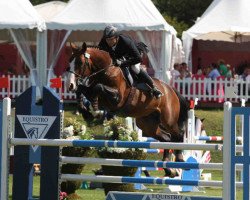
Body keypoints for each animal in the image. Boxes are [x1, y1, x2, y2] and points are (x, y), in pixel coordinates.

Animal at [67, 42, 188, 178]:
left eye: (80, 63)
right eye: (69, 61)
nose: (70, 85)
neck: (106, 70)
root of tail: (171, 89)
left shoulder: (117, 98)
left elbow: (98, 87)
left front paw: (94, 108)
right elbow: (82, 89)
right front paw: (86, 112)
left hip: (168, 120)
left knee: (178, 134)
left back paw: (180, 160)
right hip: (147, 124)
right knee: (166, 138)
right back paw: (169, 169)